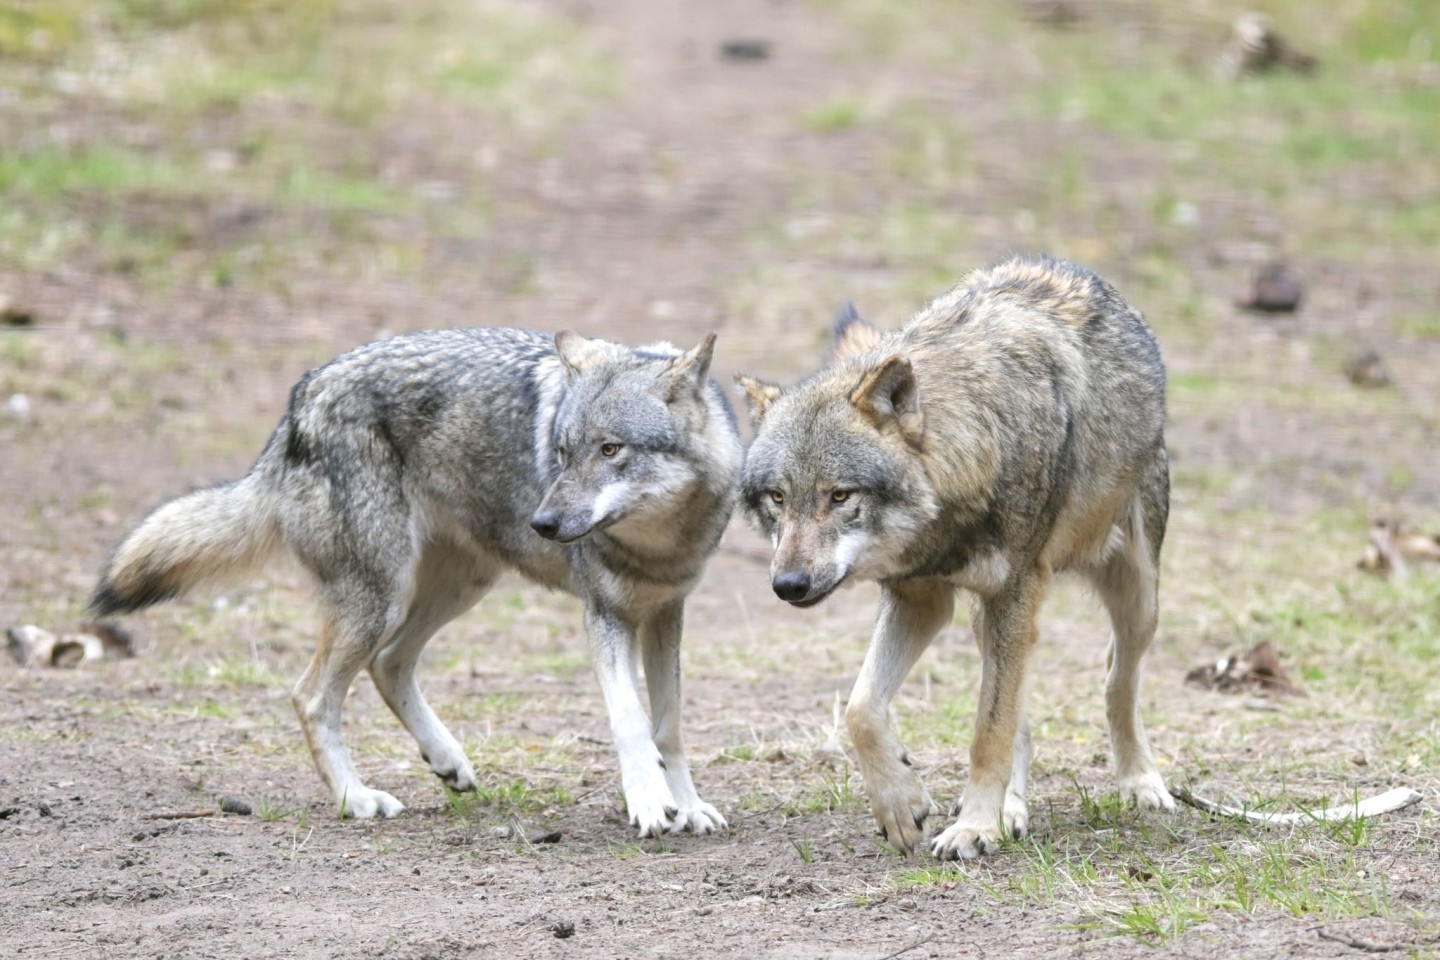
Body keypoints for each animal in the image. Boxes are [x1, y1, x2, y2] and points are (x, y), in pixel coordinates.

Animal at [91, 326, 743, 834]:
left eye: (610, 450)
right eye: (560, 453)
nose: (543, 523)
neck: (659, 542)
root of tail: (300, 400)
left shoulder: (666, 613)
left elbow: (669, 726)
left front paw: (688, 805)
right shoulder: (604, 616)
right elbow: (631, 721)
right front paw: (650, 804)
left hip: (458, 586)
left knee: (389, 664)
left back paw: (446, 761)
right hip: (381, 599)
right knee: (311, 695)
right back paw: (357, 799)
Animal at [737, 257, 1175, 863]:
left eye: (840, 496)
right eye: (778, 498)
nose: (789, 584)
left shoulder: (1013, 591)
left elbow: (988, 732)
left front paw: (973, 828)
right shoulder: (920, 598)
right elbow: (861, 709)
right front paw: (902, 805)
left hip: (1136, 597)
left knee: (1116, 679)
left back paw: (1139, 782)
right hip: (987, 617)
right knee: (1022, 713)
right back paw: (1012, 808)